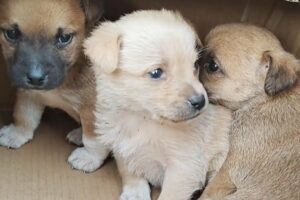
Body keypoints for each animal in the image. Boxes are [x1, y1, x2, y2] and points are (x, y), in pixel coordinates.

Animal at [0, 0, 110, 170]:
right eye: (11, 34)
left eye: (64, 37)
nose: (35, 78)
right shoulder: (29, 94)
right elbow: (24, 115)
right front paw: (17, 133)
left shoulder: (94, 109)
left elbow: (93, 139)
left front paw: (89, 157)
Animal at [79, 10, 232, 199]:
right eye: (156, 72)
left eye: (195, 65)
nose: (200, 101)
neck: (142, 119)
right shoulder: (121, 147)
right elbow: (129, 172)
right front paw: (135, 192)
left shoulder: (183, 167)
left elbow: (169, 195)